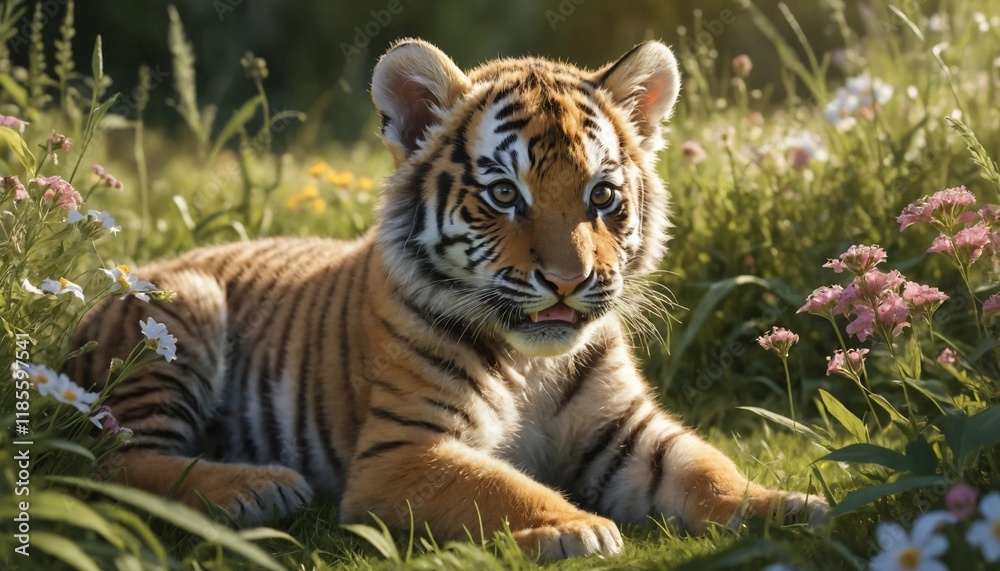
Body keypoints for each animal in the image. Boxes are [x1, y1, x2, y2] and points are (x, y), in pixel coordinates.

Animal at [70, 38, 829, 559]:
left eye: (602, 195)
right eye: (504, 194)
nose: (568, 280)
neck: (532, 365)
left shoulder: (628, 431)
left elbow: (709, 467)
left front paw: (790, 506)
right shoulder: (403, 450)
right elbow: (498, 485)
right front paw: (575, 526)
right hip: (178, 315)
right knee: (111, 460)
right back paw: (255, 486)